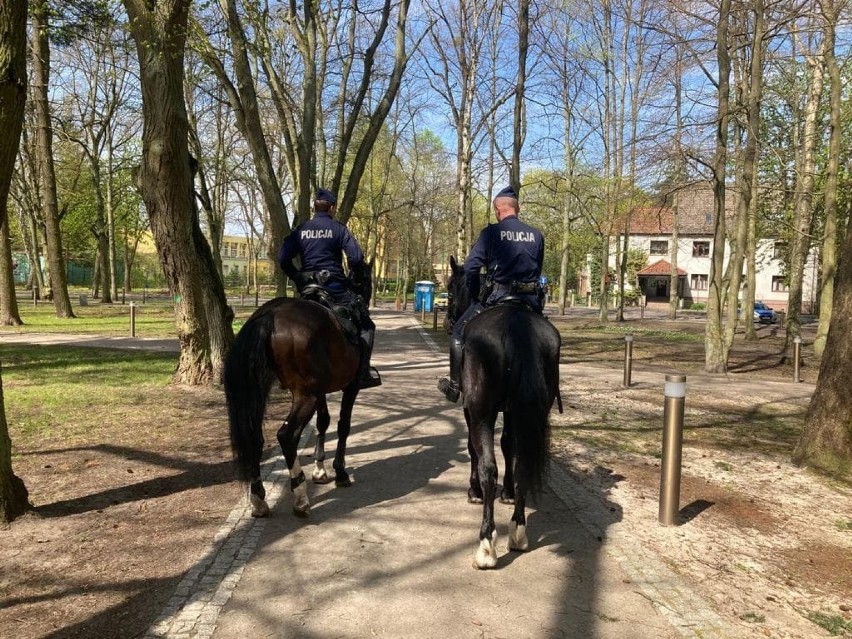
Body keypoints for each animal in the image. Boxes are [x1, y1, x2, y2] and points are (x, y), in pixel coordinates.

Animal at [225, 264, 374, 520]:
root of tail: (270, 314)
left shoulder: (322, 391)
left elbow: (323, 422)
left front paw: (320, 470)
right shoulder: (350, 386)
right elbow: (343, 425)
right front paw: (340, 472)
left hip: (266, 391)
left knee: (255, 437)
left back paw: (258, 500)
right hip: (306, 395)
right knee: (287, 435)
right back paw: (300, 497)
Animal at [442, 255, 564, 568]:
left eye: (450, 290)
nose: (448, 322)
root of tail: (517, 322)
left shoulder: (471, 409)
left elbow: (474, 450)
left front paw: (473, 491)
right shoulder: (511, 411)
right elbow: (509, 446)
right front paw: (508, 493)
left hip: (481, 412)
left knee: (488, 466)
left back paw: (486, 545)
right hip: (528, 411)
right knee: (523, 463)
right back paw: (518, 531)